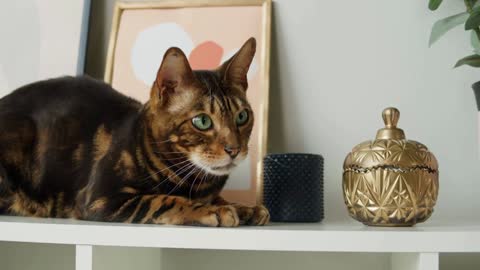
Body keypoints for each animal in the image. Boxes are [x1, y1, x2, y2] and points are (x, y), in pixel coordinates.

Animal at [0, 37, 270, 226]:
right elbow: (162, 200)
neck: (198, 183)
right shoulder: (101, 197)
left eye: (242, 116)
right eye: (202, 121)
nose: (234, 149)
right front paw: (212, 209)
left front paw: (244, 207)